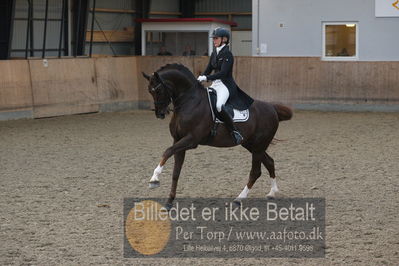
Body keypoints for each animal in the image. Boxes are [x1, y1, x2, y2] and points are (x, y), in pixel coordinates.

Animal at [142, 64, 292, 208]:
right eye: (149, 91)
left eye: (158, 90)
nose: (160, 114)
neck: (189, 101)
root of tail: (272, 108)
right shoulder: (178, 140)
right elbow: (176, 172)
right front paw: (169, 201)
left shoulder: (191, 140)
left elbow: (167, 151)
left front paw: (154, 179)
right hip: (252, 145)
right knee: (269, 162)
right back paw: (272, 193)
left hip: (258, 146)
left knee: (256, 171)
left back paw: (239, 199)